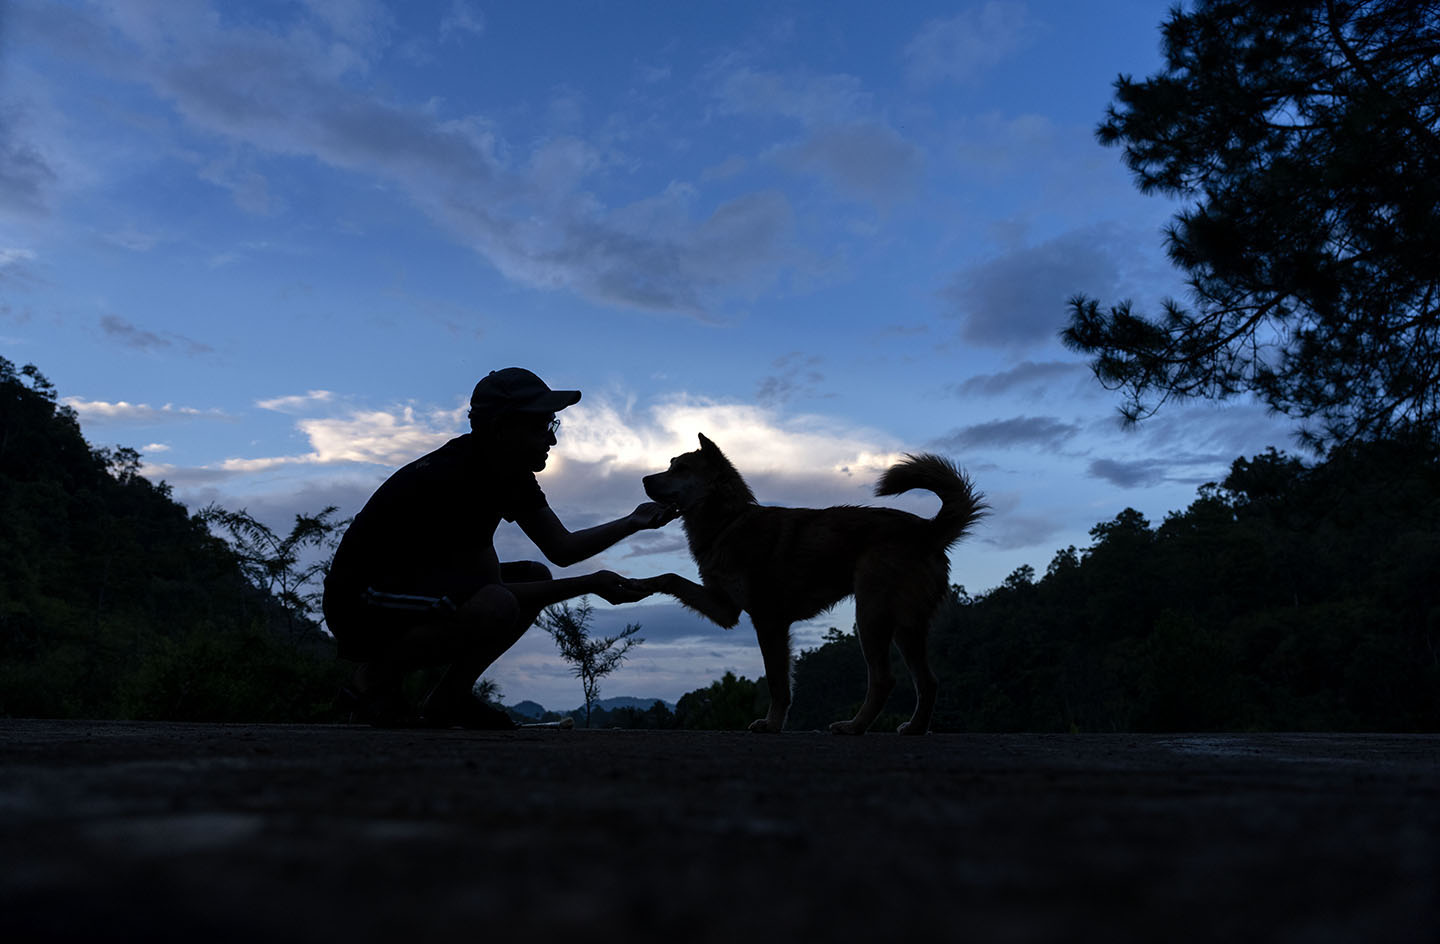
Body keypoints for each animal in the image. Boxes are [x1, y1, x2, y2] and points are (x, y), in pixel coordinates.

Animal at [637, 434, 985, 735]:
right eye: (670, 463)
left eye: (681, 468)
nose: (643, 480)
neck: (728, 522)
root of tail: (927, 530)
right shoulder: (726, 610)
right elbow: (670, 578)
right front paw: (635, 586)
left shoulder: (768, 622)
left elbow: (778, 683)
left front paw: (772, 725)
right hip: (904, 626)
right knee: (928, 681)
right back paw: (914, 728)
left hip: (871, 617)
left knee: (884, 680)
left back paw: (854, 727)